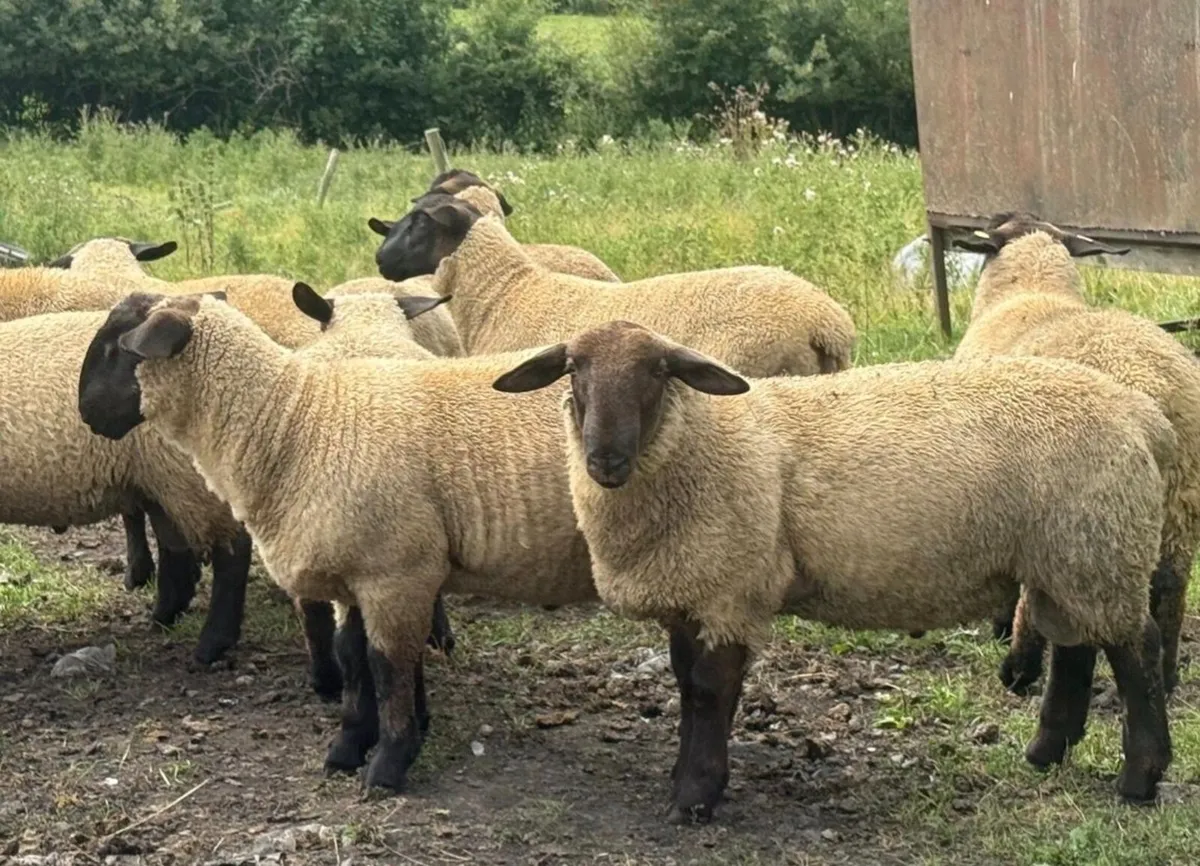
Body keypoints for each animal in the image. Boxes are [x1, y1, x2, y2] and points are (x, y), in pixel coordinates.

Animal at [0, 305, 253, 664]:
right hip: (156, 478)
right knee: (175, 547)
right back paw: (162, 617)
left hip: (186, 474)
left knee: (232, 552)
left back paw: (212, 643)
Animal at [78, 292, 597, 793]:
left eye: (117, 348)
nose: (85, 413)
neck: (296, 425)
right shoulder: (354, 573)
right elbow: (352, 658)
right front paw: (348, 748)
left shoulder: (395, 574)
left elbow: (387, 667)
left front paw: (388, 764)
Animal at [493, 320, 1176, 821]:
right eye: (573, 369)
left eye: (658, 372)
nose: (605, 459)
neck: (702, 442)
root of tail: (1144, 416)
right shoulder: (695, 589)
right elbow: (686, 687)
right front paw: (687, 779)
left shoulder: (730, 587)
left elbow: (710, 692)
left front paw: (695, 797)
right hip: (1071, 552)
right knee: (1078, 647)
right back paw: (1045, 753)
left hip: (1097, 540)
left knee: (1134, 651)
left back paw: (1140, 778)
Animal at [952, 212, 1200, 696]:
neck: (1032, 293)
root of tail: (1149, 387)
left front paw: (1001, 629)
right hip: (1181, 500)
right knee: (1170, 586)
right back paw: (1166, 676)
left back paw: (1019, 670)